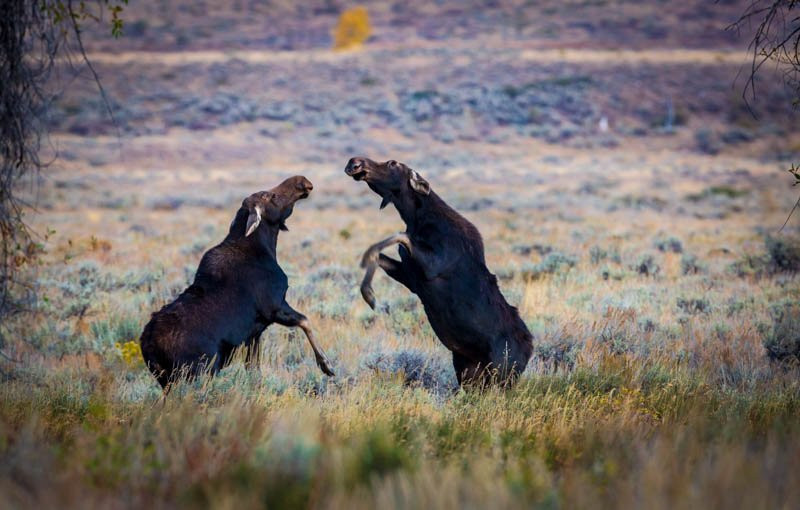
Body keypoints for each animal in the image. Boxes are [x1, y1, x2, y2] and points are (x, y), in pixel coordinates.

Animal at [141, 176, 334, 390]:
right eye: (270, 196)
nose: (302, 181)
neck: (267, 247)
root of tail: (148, 348)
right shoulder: (274, 306)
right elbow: (305, 321)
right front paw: (326, 364)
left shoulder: (255, 332)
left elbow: (254, 368)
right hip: (197, 373)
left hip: (168, 381)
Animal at [344, 157, 532, 384]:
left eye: (393, 163)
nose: (355, 162)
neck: (414, 218)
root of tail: (529, 353)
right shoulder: (411, 278)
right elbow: (381, 255)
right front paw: (368, 293)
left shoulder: (433, 265)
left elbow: (397, 237)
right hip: (468, 370)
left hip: (500, 375)